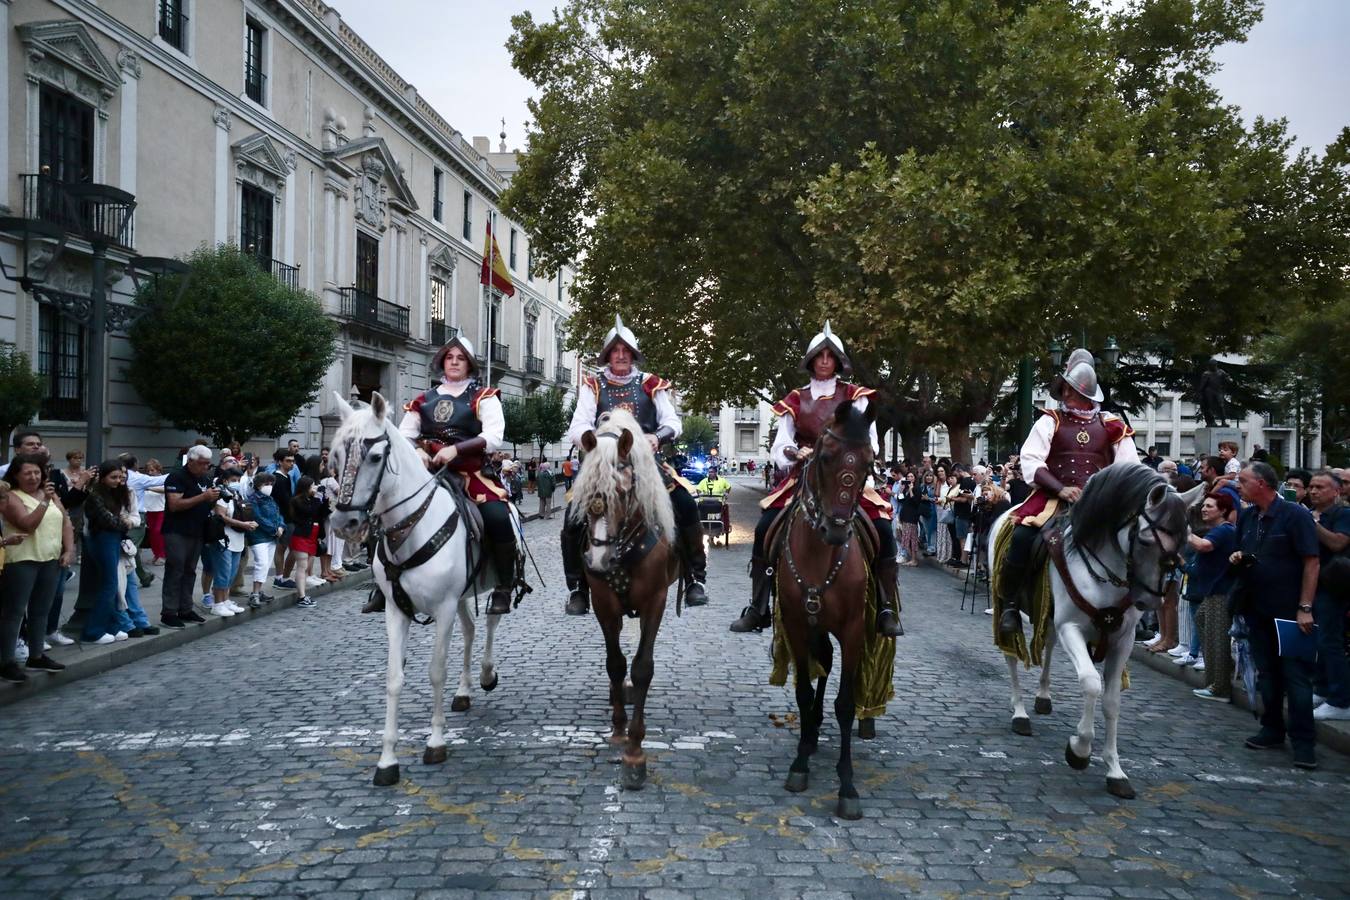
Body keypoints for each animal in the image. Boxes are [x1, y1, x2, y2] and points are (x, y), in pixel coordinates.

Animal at [330, 391, 510, 782]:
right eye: (335, 456)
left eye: (375, 457)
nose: (343, 523)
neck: (411, 529)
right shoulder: (397, 610)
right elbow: (394, 678)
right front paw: (387, 761)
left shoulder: (442, 608)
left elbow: (436, 671)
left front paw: (436, 742)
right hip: (462, 594)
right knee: (471, 630)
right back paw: (464, 691)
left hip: (489, 581)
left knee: (491, 619)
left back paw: (486, 673)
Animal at [572, 407, 680, 788]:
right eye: (585, 491)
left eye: (623, 490)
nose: (597, 560)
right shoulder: (604, 604)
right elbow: (616, 664)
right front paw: (619, 730)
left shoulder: (655, 601)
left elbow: (642, 667)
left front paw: (635, 751)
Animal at [988, 464, 1198, 804]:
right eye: (1145, 541)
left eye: (1184, 543)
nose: (1150, 601)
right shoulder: (1072, 627)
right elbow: (1090, 684)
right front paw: (1079, 749)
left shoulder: (1121, 640)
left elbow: (1111, 701)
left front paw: (1115, 771)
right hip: (1005, 603)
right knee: (1011, 654)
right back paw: (1019, 712)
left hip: (1049, 614)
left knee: (1047, 644)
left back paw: (1043, 697)